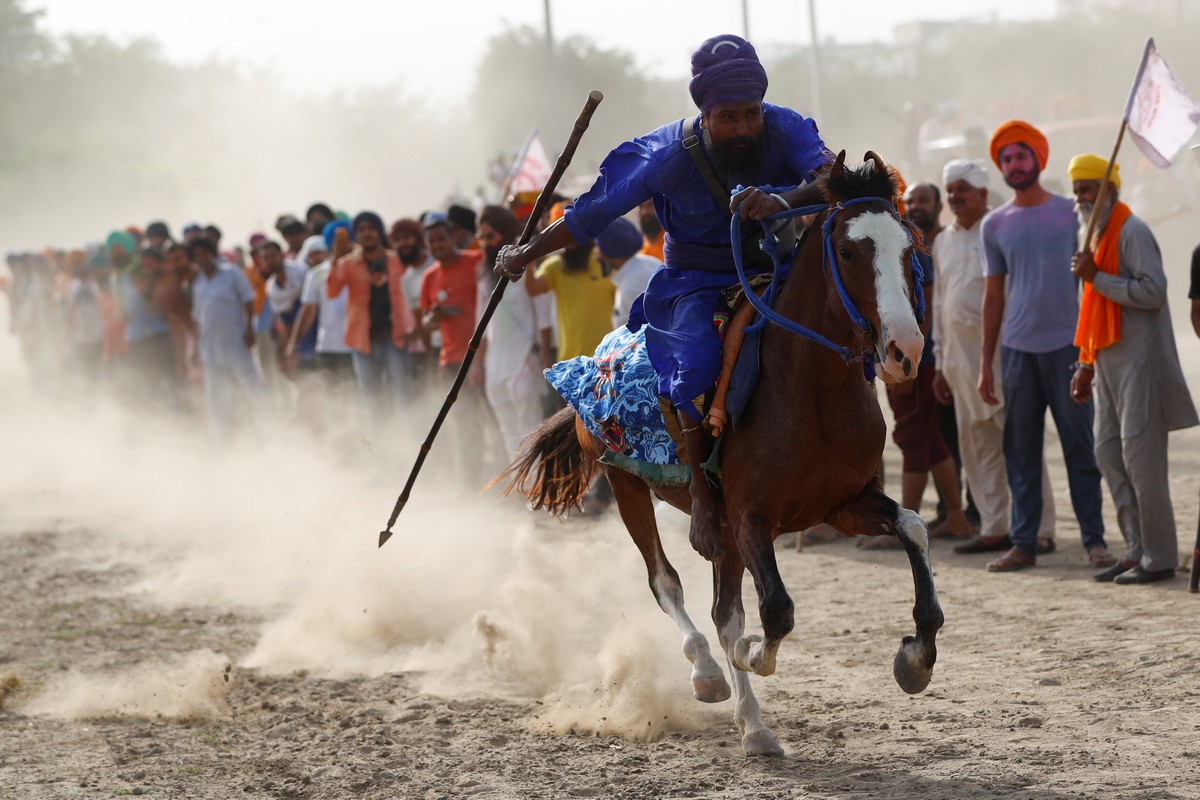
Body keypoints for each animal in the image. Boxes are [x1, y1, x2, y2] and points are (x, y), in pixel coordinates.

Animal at [501, 151, 940, 758]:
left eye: (910, 248)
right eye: (850, 251)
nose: (905, 350)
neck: (811, 391)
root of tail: (600, 352)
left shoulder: (844, 504)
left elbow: (914, 529)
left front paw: (915, 656)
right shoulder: (752, 517)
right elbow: (774, 611)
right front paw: (750, 655)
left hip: (721, 528)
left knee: (721, 609)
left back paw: (753, 724)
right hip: (630, 487)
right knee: (668, 584)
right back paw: (709, 673)